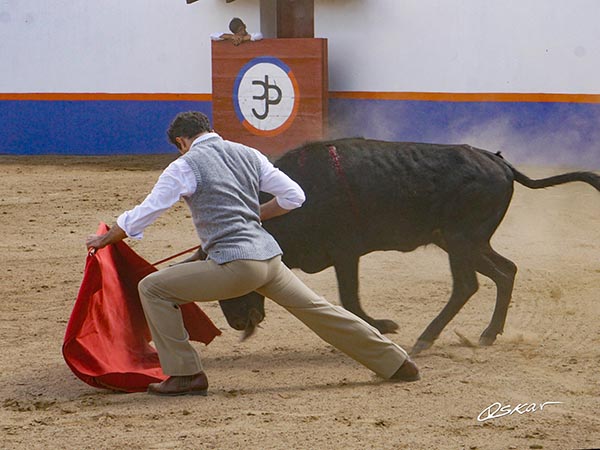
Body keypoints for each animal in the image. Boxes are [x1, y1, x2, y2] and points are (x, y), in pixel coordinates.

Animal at [217, 138, 600, 356]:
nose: (236, 323)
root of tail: (500, 162)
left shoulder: (345, 252)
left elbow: (350, 299)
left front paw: (383, 327)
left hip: (462, 240)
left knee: (475, 282)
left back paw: (438, 338)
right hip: (463, 241)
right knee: (500, 273)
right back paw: (478, 335)